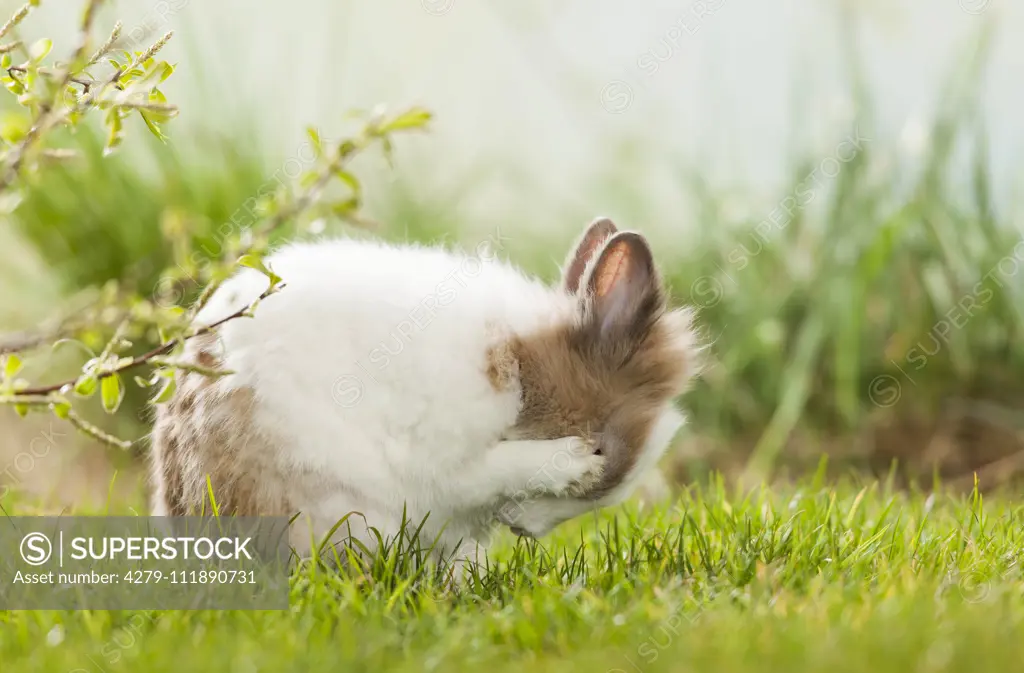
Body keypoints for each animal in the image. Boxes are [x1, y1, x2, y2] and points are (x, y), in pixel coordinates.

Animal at [149, 218, 696, 557]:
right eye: (600, 450)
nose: (527, 530)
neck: (522, 368)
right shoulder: (446, 458)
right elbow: (495, 469)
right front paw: (568, 462)